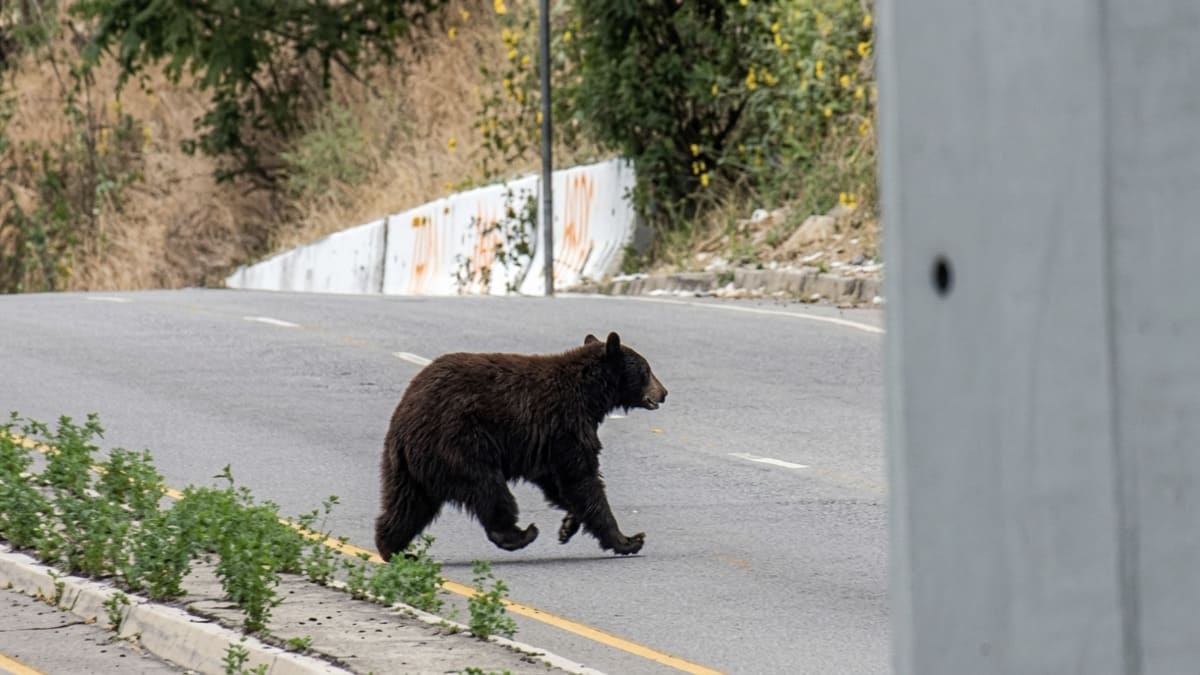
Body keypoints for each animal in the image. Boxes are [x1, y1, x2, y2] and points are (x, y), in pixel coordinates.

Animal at [374, 332, 667, 561]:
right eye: (647, 369)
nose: (663, 392)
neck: (590, 395)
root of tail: (405, 419)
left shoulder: (548, 444)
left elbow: (558, 482)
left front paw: (568, 525)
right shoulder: (566, 424)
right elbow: (582, 479)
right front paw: (629, 540)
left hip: (409, 466)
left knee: (407, 505)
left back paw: (394, 549)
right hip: (460, 445)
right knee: (488, 489)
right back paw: (521, 534)